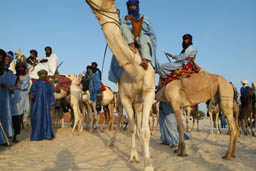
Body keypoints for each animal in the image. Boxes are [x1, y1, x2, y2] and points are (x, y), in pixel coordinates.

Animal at [85, 1, 154, 170]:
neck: (136, 72)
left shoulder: (149, 93)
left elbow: (144, 131)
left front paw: (148, 164)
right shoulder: (125, 97)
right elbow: (131, 127)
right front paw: (133, 157)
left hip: (138, 102)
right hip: (118, 101)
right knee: (121, 118)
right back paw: (112, 142)